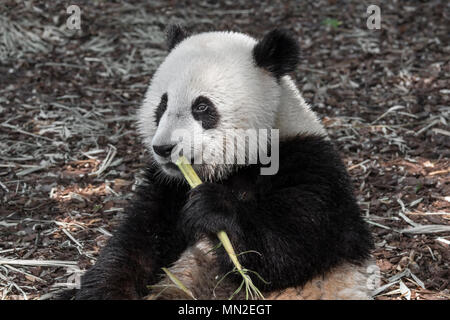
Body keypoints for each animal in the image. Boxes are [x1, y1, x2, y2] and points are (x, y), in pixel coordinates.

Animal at [74, 25, 376, 300]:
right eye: (162, 105)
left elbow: (293, 247)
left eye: (201, 107)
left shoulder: (310, 163)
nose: (164, 148)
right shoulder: (167, 186)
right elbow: (138, 243)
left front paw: (213, 207)